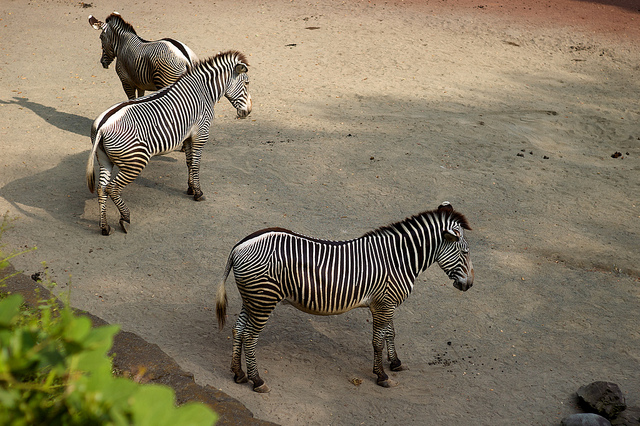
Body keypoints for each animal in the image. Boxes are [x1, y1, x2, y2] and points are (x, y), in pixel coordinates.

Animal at [86, 50, 252, 235]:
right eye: (247, 83)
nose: (248, 112)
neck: (204, 92)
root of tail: (102, 126)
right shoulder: (201, 134)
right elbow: (196, 164)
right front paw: (198, 193)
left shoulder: (187, 136)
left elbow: (189, 162)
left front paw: (190, 188)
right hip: (135, 161)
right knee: (112, 188)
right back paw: (125, 218)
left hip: (104, 160)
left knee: (101, 189)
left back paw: (105, 227)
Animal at [215, 202, 474, 393]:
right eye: (465, 252)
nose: (469, 285)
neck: (399, 259)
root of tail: (238, 247)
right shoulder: (384, 304)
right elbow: (378, 341)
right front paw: (381, 376)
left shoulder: (387, 302)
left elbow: (390, 333)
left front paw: (395, 363)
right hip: (263, 301)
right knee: (250, 337)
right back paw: (257, 380)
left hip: (253, 299)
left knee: (238, 331)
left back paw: (238, 374)